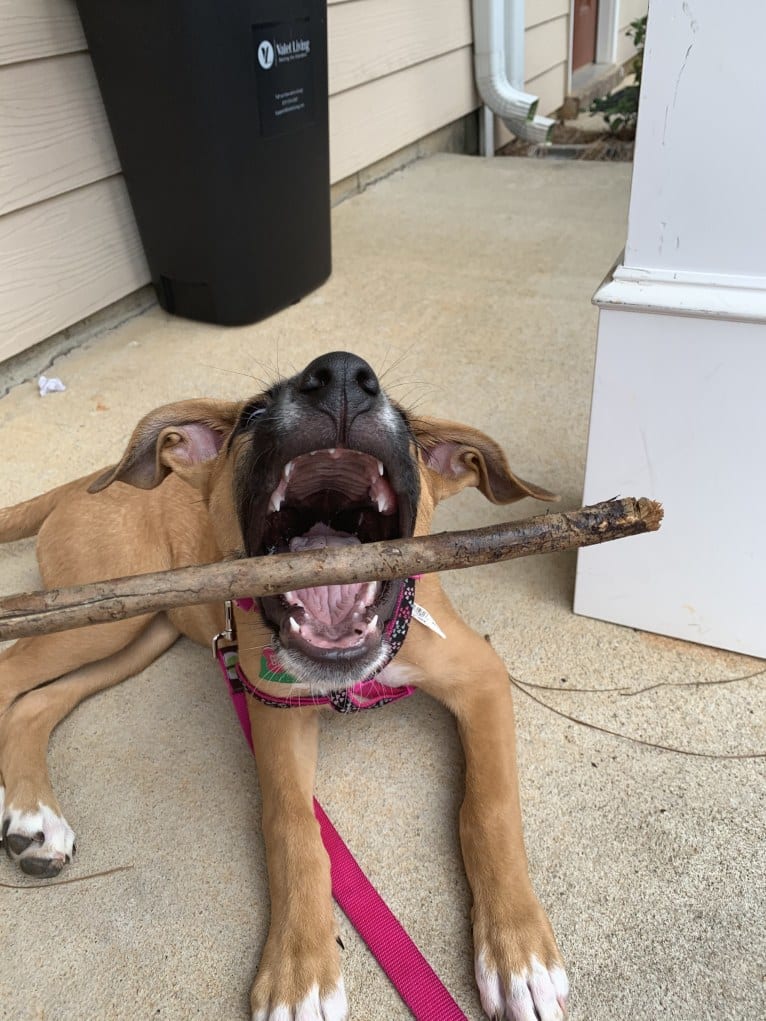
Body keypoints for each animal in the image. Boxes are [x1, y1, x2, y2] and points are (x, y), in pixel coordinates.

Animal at [0, 353, 571, 1021]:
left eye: (405, 421)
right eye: (251, 414)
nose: (343, 375)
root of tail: (83, 481)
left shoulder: (481, 676)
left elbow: (489, 806)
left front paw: (516, 954)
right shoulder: (274, 707)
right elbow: (291, 826)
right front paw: (300, 970)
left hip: (139, 631)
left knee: (37, 701)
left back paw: (36, 818)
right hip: (99, 614)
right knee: (14, 676)